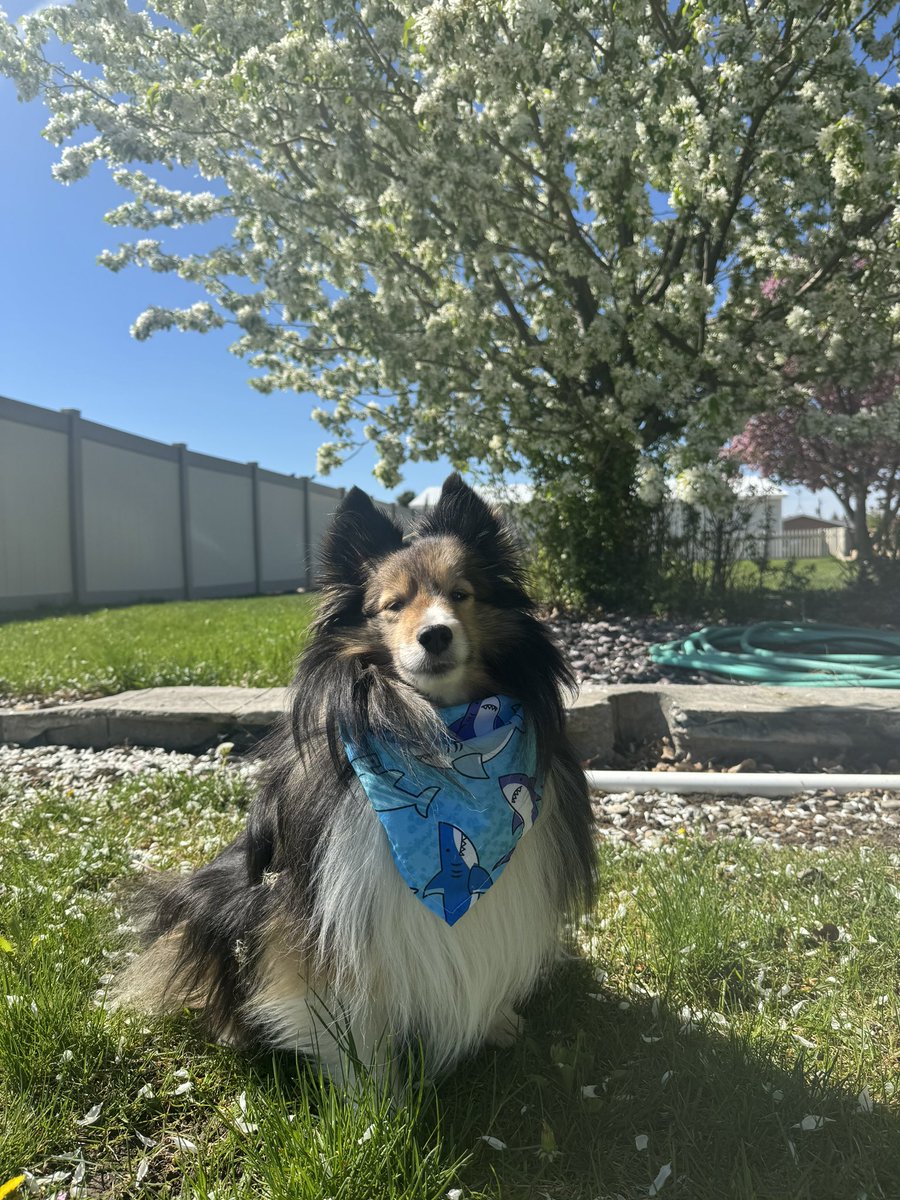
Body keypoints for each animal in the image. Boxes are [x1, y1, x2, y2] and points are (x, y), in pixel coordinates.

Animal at [118, 475, 600, 1089]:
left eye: (461, 593)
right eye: (392, 605)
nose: (436, 635)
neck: (436, 732)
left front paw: (494, 1021)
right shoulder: (322, 913)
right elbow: (351, 1012)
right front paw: (373, 1094)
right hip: (220, 897)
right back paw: (231, 1028)